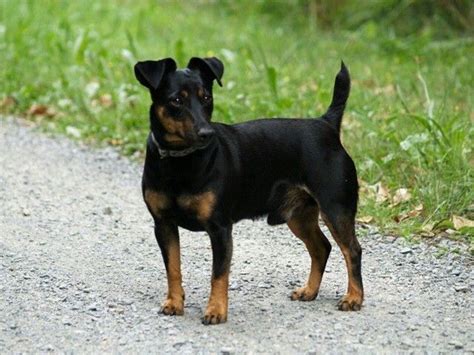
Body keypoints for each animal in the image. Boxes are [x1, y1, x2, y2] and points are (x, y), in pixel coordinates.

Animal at [133, 55, 362, 326]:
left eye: (207, 98)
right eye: (176, 101)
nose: (206, 133)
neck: (181, 160)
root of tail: (326, 124)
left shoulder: (220, 228)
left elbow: (218, 274)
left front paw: (216, 310)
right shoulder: (163, 225)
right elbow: (173, 268)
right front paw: (174, 302)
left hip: (335, 210)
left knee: (352, 250)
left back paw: (354, 298)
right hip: (299, 216)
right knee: (322, 248)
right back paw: (309, 291)